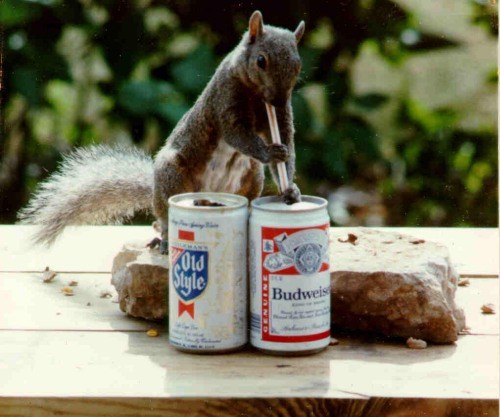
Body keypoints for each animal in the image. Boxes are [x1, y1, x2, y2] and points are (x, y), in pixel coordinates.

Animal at [18, 10, 304, 250]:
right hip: (173, 176)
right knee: (166, 217)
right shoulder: (224, 98)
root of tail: (208, 197)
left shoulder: (281, 116)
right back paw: (165, 239)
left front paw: (290, 189)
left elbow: (287, 141)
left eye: (298, 65)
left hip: (252, 177)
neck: (257, 97)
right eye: (260, 61)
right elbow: (237, 134)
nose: (278, 100)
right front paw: (270, 154)